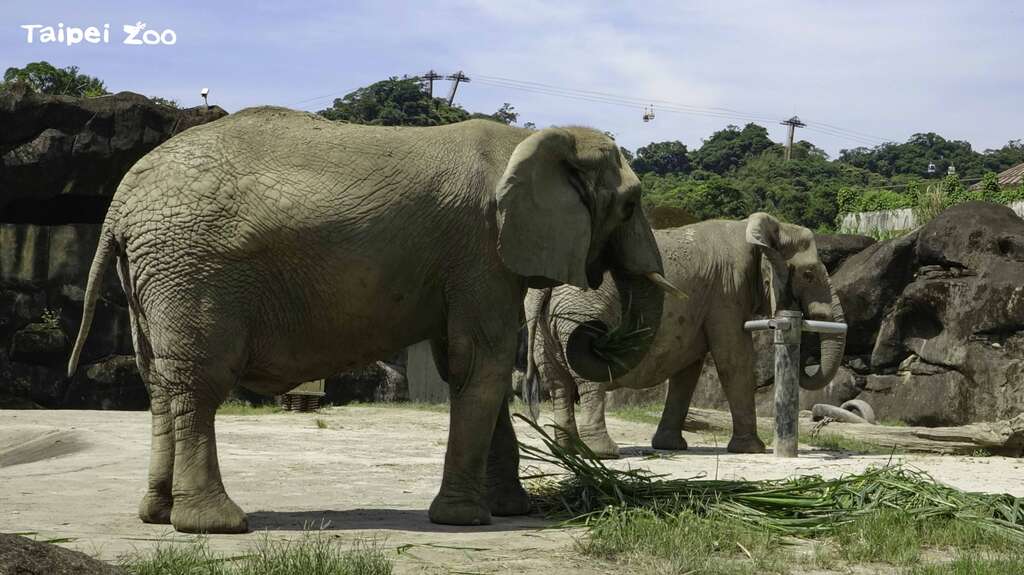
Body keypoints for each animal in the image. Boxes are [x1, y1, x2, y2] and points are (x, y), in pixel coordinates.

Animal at [67, 107, 683, 533]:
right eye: (630, 205)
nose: (597, 331)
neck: (532, 141)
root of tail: (120, 204)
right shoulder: (481, 248)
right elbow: (480, 365)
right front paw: (467, 520)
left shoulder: (471, 261)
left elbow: (467, 365)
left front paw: (513, 510)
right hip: (191, 265)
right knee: (200, 381)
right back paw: (216, 525)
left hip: (154, 273)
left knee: (159, 382)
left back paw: (155, 515)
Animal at [523, 213, 846, 458]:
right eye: (808, 274)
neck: (755, 228)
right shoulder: (727, 291)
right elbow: (733, 358)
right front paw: (752, 449)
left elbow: (687, 368)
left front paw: (670, 446)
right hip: (584, 310)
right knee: (588, 376)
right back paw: (603, 452)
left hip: (543, 322)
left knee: (557, 383)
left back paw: (567, 451)